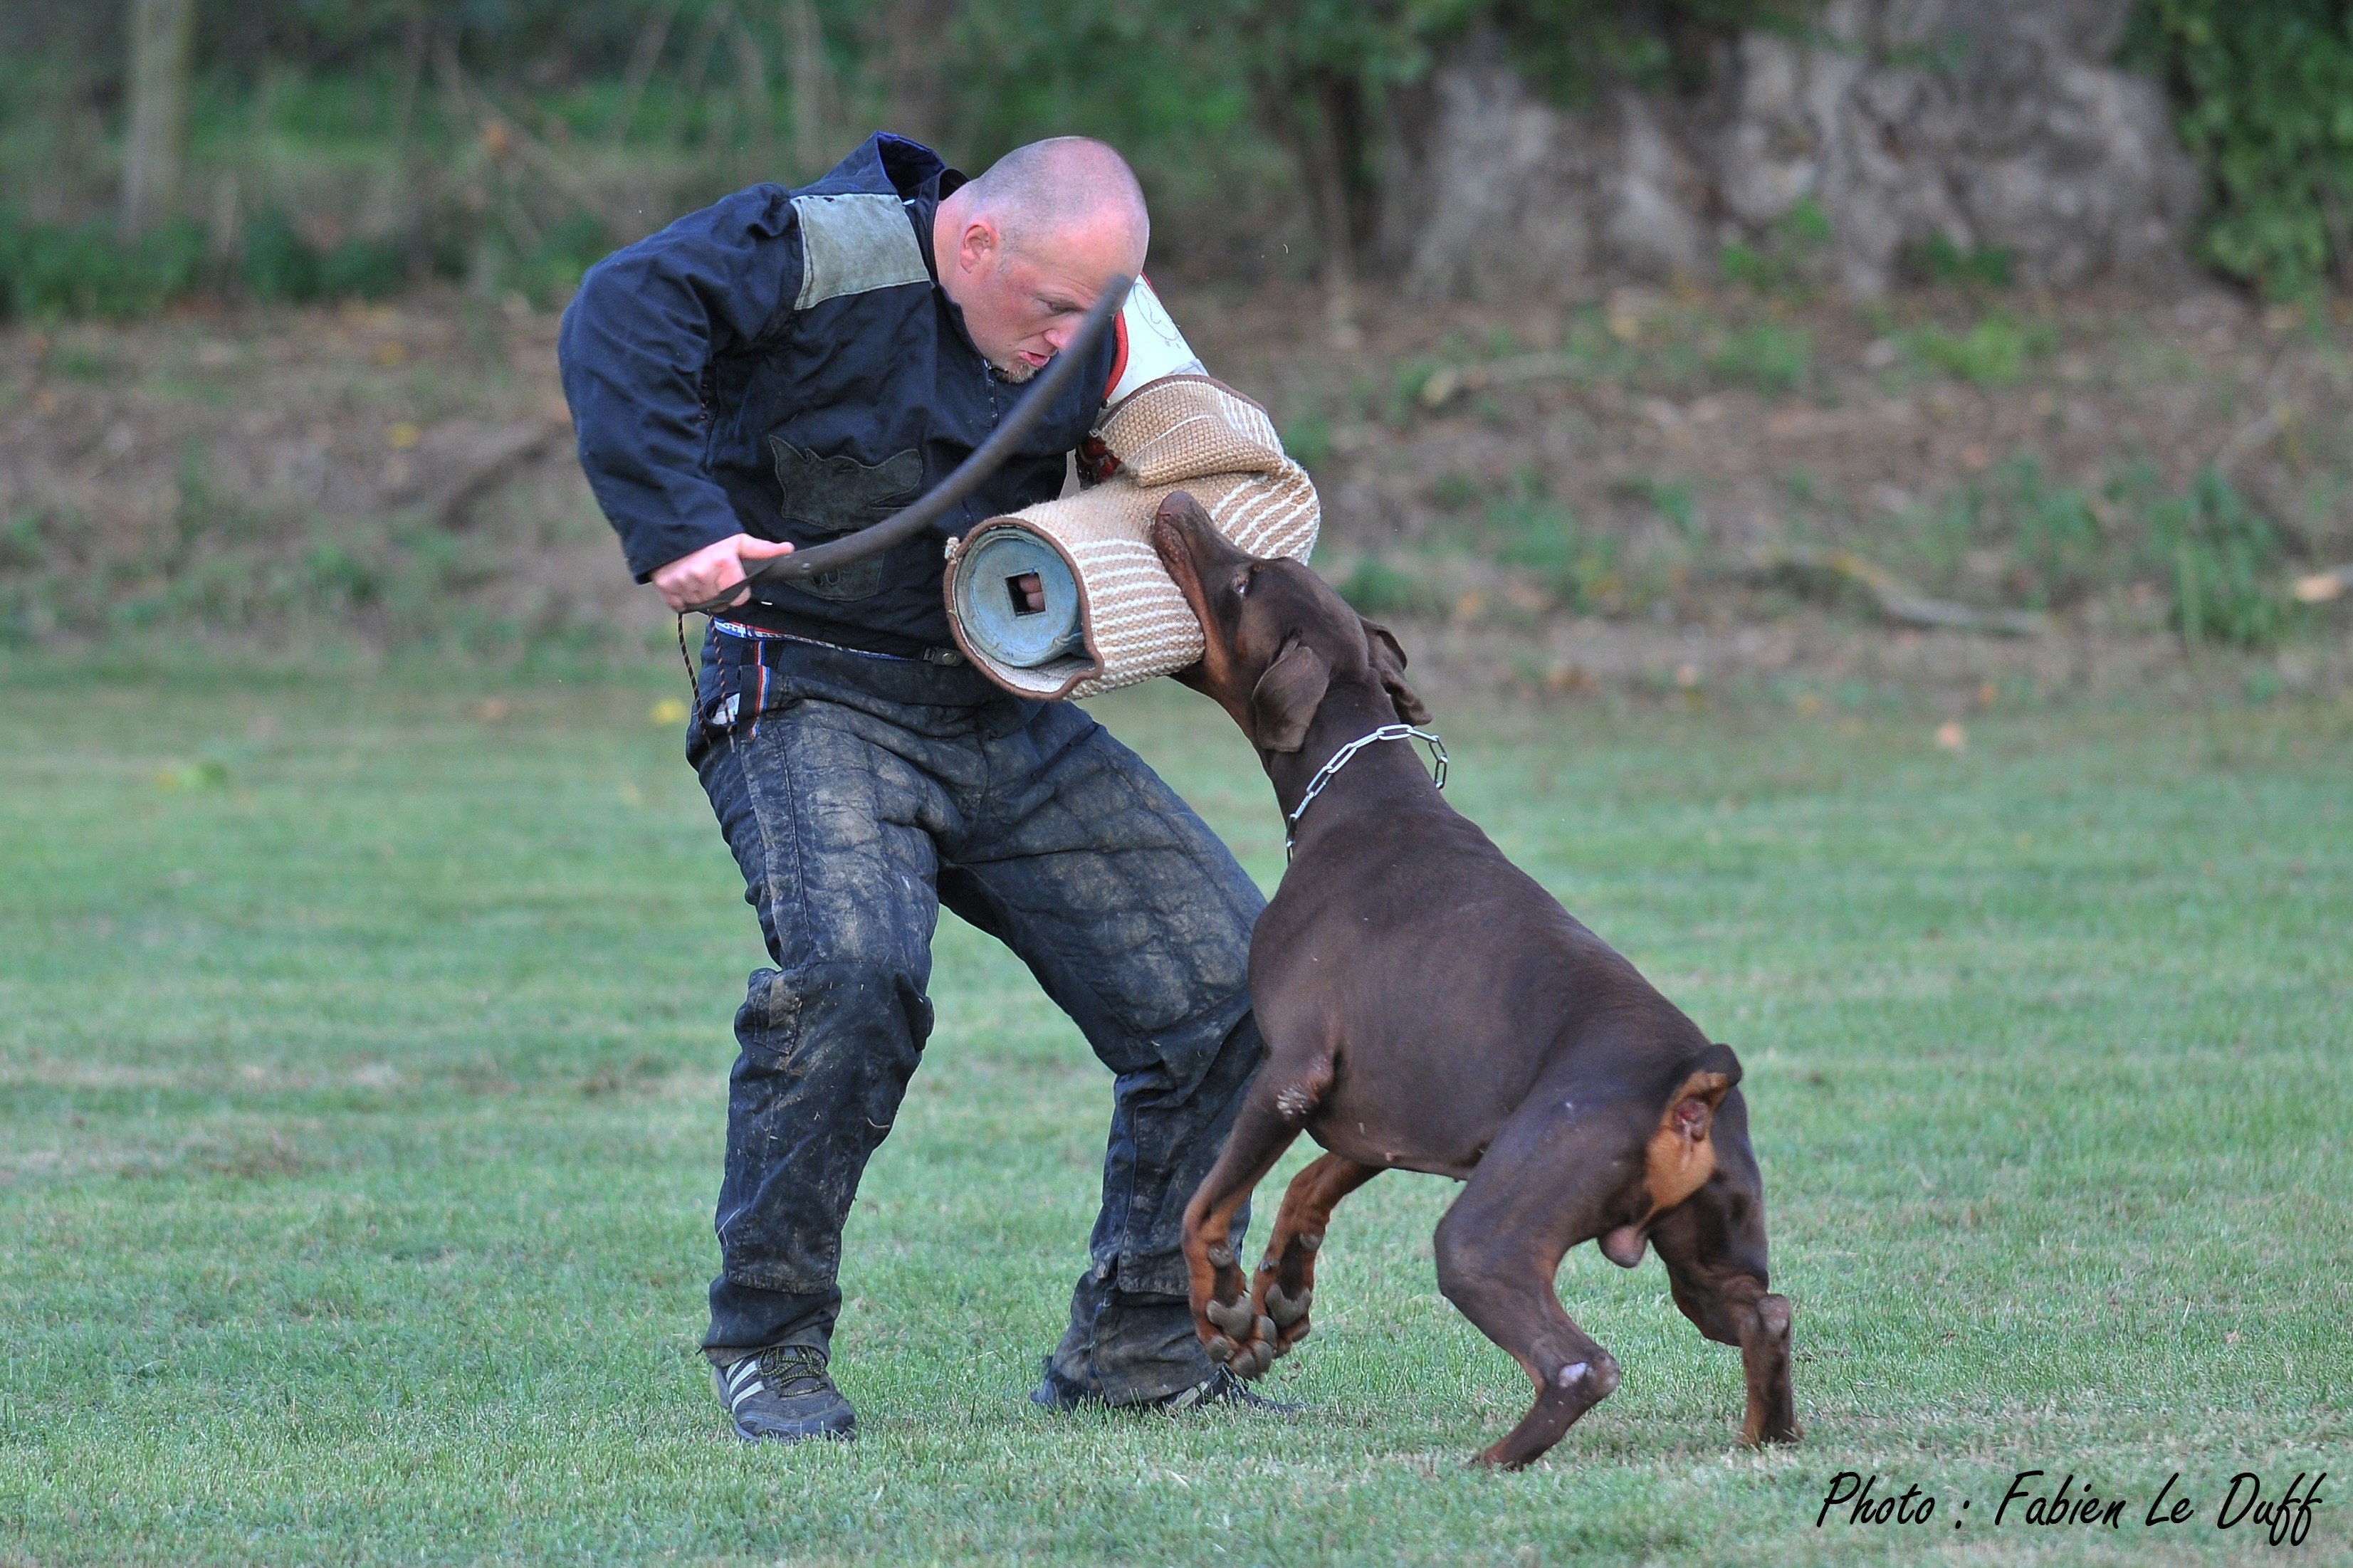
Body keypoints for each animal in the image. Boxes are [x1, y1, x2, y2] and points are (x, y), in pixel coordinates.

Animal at [1148, 493, 1788, 1476]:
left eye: (1247, 578)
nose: (1176, 503)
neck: (1356, 795)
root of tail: (1695, 1081)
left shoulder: (1289, 1071)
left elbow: (1204, 1205)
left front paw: (1222, 1314)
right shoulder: (1384, 1110)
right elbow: (1309, 1187)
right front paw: (1282, 1294)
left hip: (1486, 1236)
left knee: (1580, 1363)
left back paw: (1493, 1460)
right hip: (1707, 1248)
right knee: (1764, 1312)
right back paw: (1765, 1439)